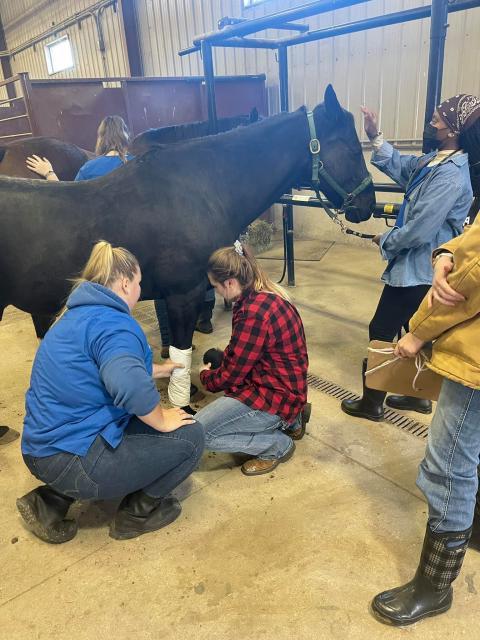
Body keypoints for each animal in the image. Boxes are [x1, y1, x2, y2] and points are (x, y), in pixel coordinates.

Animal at [0, 85, 376, 404]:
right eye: (352, 149)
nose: (368, 204)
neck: (202, 186)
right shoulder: (183, 294)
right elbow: (182, 353)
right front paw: (182, 402)